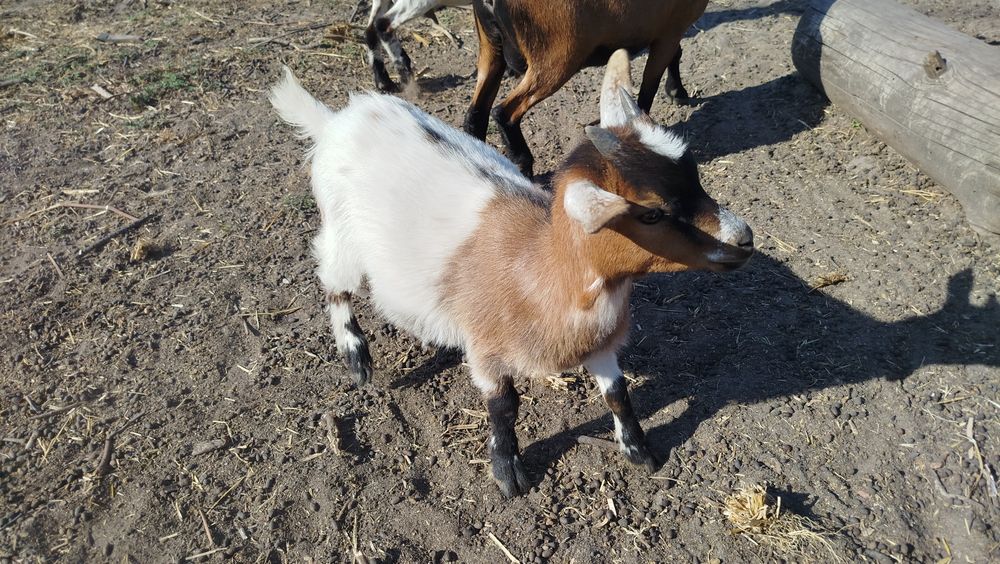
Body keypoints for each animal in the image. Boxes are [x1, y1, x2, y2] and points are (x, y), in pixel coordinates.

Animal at [269, 49, 753, 497]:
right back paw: (357, 358)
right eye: (651, 214)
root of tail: (338, 120)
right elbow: (504, 405)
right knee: (334, 283)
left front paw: (639, 452)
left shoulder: (599, 343)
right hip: (341, 232)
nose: (745, 238)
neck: (539, 270)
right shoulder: (487, 351)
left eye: (694, 173)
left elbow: (617, 392)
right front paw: (508, 473)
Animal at [464, 0, 710, 177]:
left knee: (476, 112)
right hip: (555, 57)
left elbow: (676, 55)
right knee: (504, 112)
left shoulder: (670, 32)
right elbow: (648, 90)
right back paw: (524, 164)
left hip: (490, 47)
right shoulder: (669, 31)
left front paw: (677, 92)